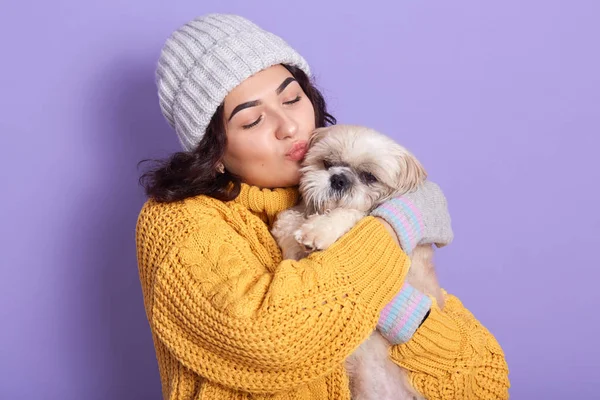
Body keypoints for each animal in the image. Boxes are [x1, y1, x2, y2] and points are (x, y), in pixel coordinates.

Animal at [272, 125, 446, 400]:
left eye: (369, 177)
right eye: (328, 163)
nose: (339, 179)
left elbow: (350, 213)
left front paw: (316, 232)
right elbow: (287, 220)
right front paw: (294, 232)